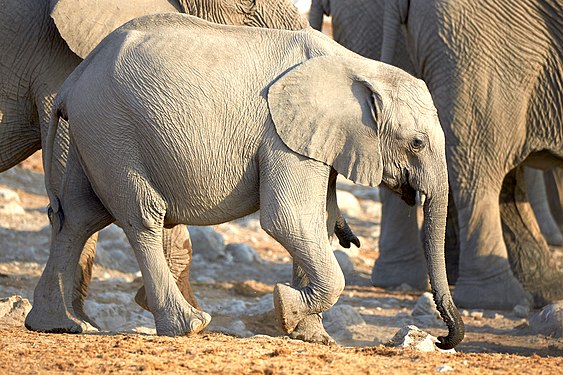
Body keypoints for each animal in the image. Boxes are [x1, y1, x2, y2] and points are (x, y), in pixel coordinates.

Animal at [0, 0, 308, 332]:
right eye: (246, 5)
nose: (297, 328)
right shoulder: (58, 65)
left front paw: (80, 320)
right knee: (134, 208)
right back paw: (188, 323)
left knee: (78, 211)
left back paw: (59, 322)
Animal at [26, 13, 464, 350]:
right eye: (417, 143)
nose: (443, 340)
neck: (359, 68)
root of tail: (73, 82)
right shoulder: (282, 137)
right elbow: (288, 219)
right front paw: (285, 307)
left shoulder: (314, 141)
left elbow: (316, 221)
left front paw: (310, 336)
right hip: (113, 132)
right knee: (141, 215)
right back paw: (189, 326)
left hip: (93, 136)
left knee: (78, 216)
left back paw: (58, 325)